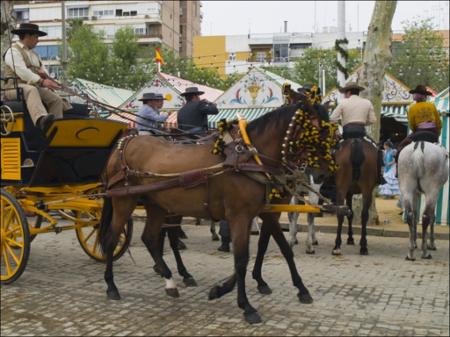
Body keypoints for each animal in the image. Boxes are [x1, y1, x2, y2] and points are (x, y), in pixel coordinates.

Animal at [100, 100, 336, 322]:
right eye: (319, 130)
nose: (324, 174)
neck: (250, 158)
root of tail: (125, 143)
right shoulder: (240, 216)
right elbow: (242, 259)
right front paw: (247, 306)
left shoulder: (259, 213)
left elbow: (274, 250)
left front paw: (224, 289)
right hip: (124, 201)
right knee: (112, 239)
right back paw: (112, 286)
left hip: (157, 205)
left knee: (150, 238)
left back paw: (169, 280)